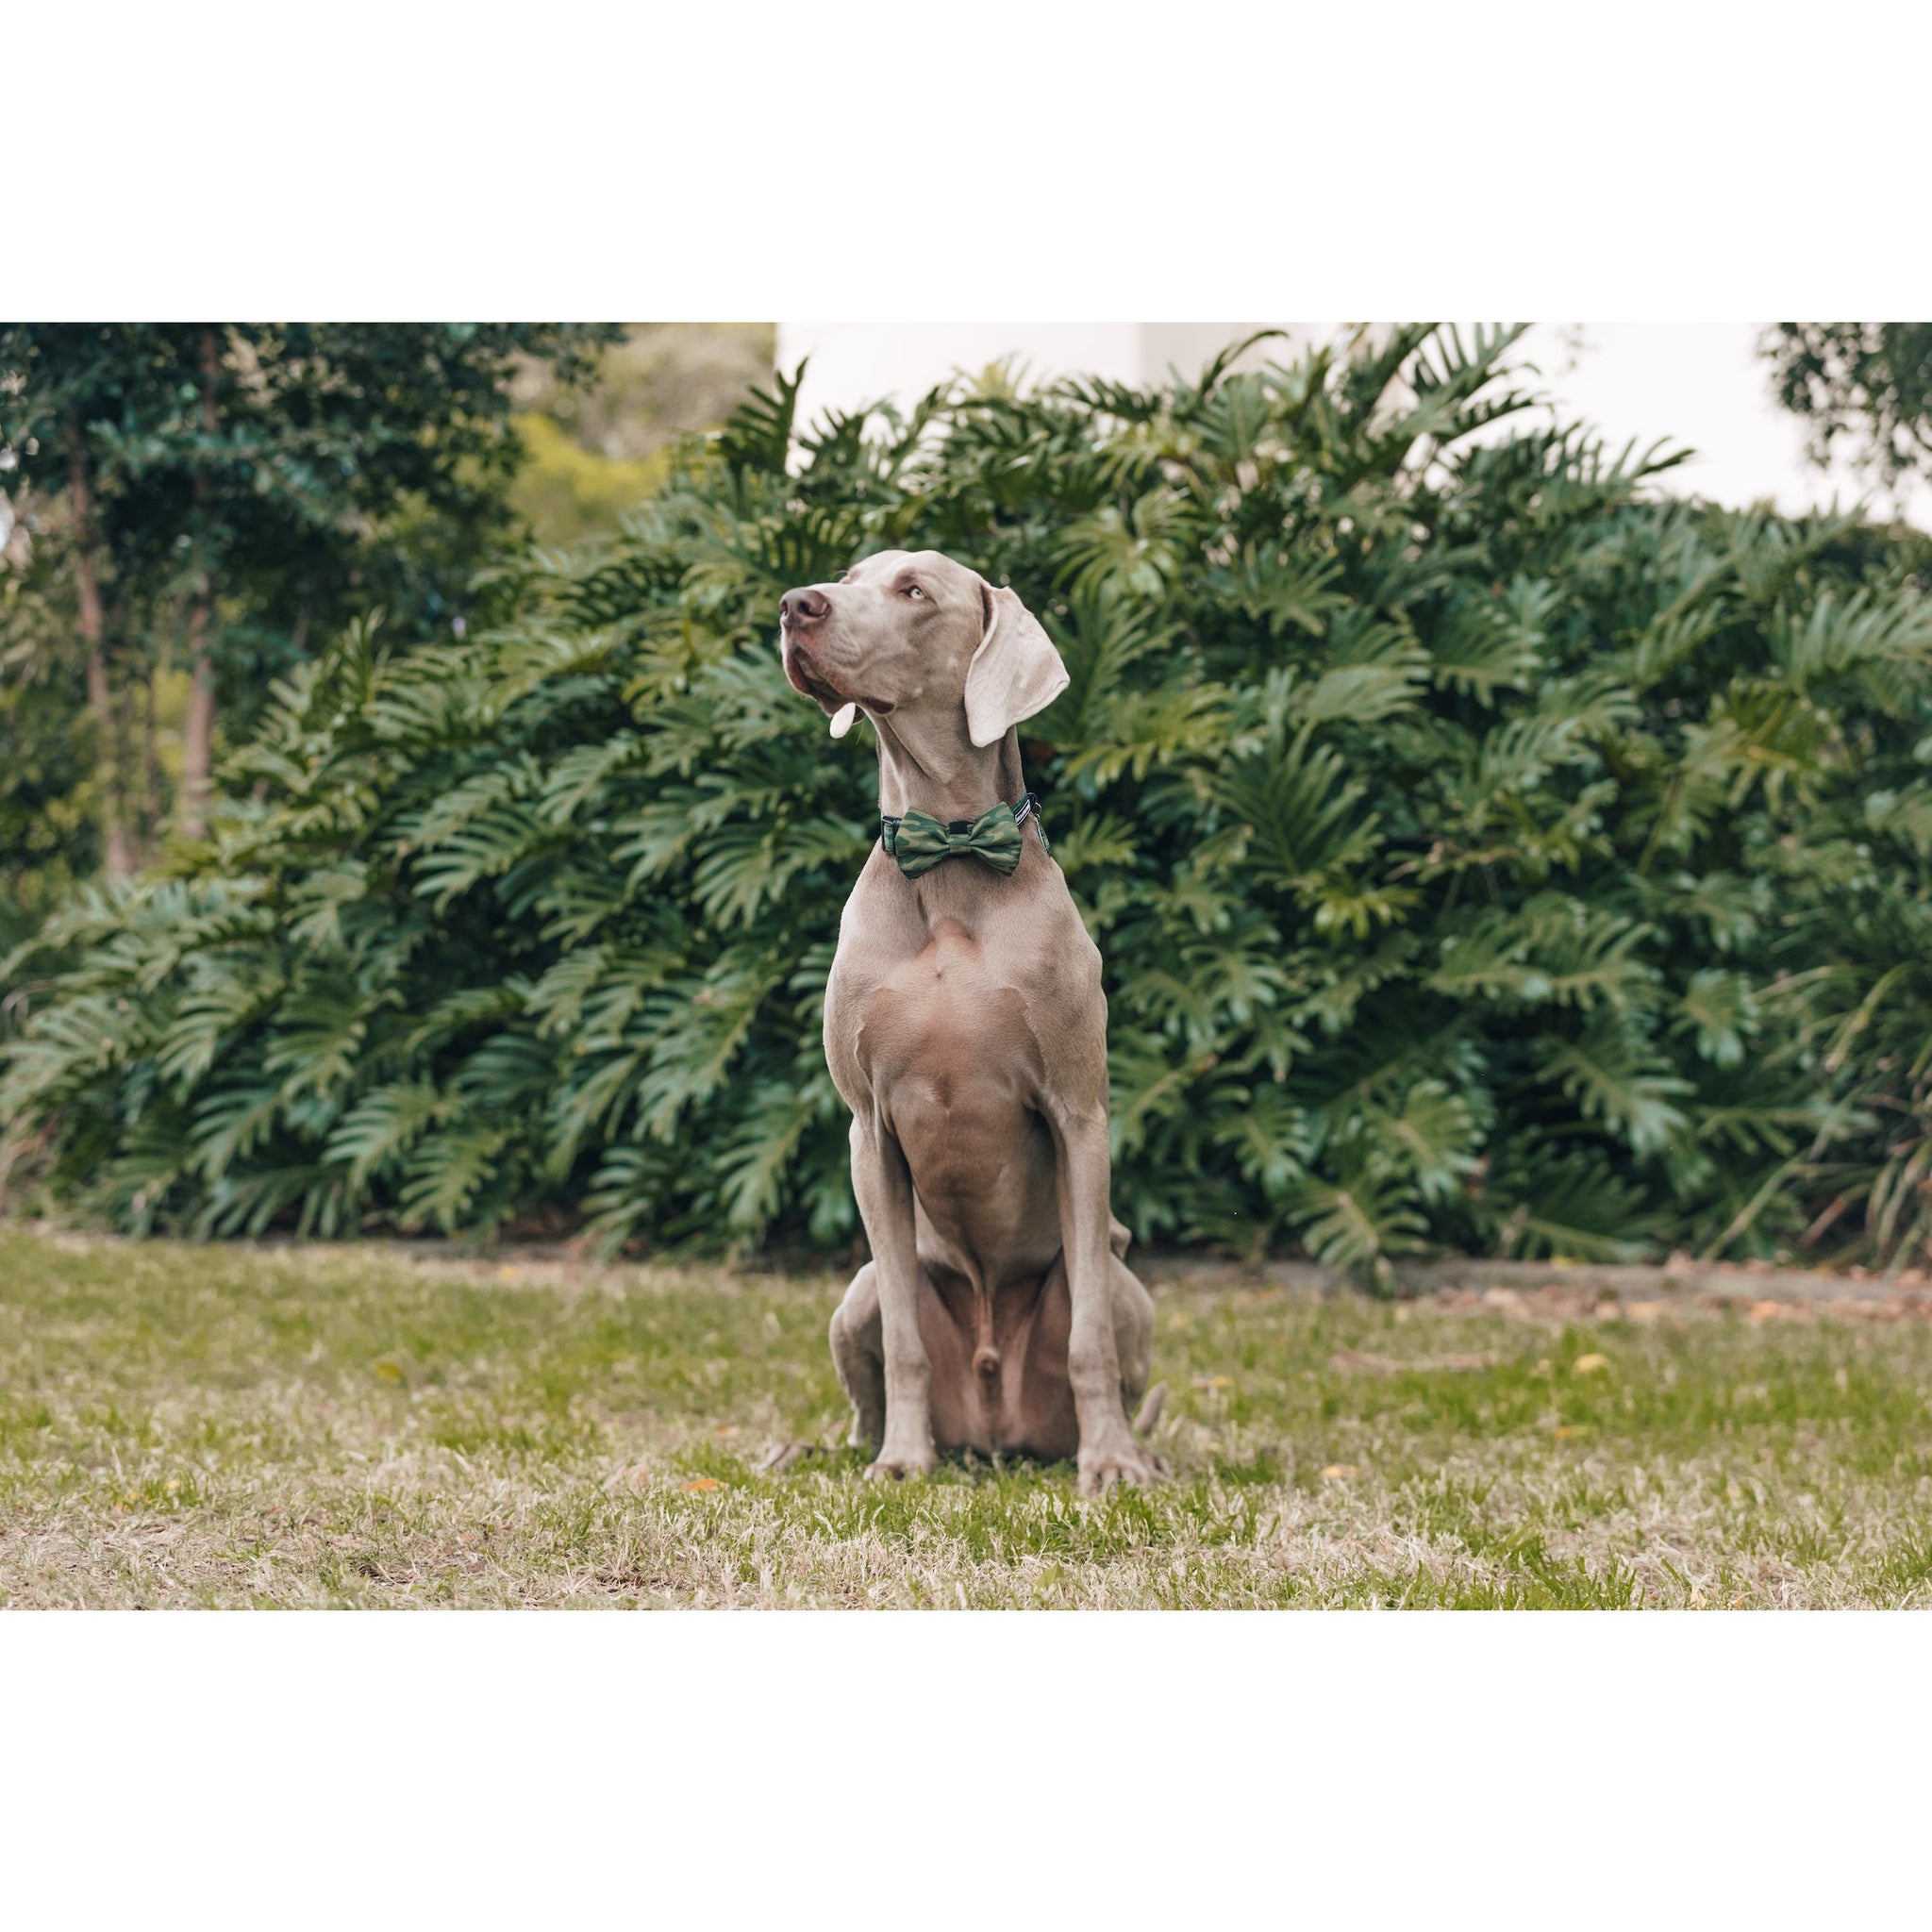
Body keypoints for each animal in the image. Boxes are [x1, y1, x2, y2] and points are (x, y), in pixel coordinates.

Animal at [773, 548, 1158, 1491]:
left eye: (915, 591)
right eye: (848, 576)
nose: (795, 605)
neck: (948, 851)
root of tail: (992, 1437)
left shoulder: (1079, 1115)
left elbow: (1090, 1338)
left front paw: (1111, 1466)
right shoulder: (868, 1130)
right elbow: (905, 1343)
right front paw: (903, 1463)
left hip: (1129, 1284)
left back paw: (1138, 1453)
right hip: (856, 1293)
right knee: (868, 1376)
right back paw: (832, 1450)